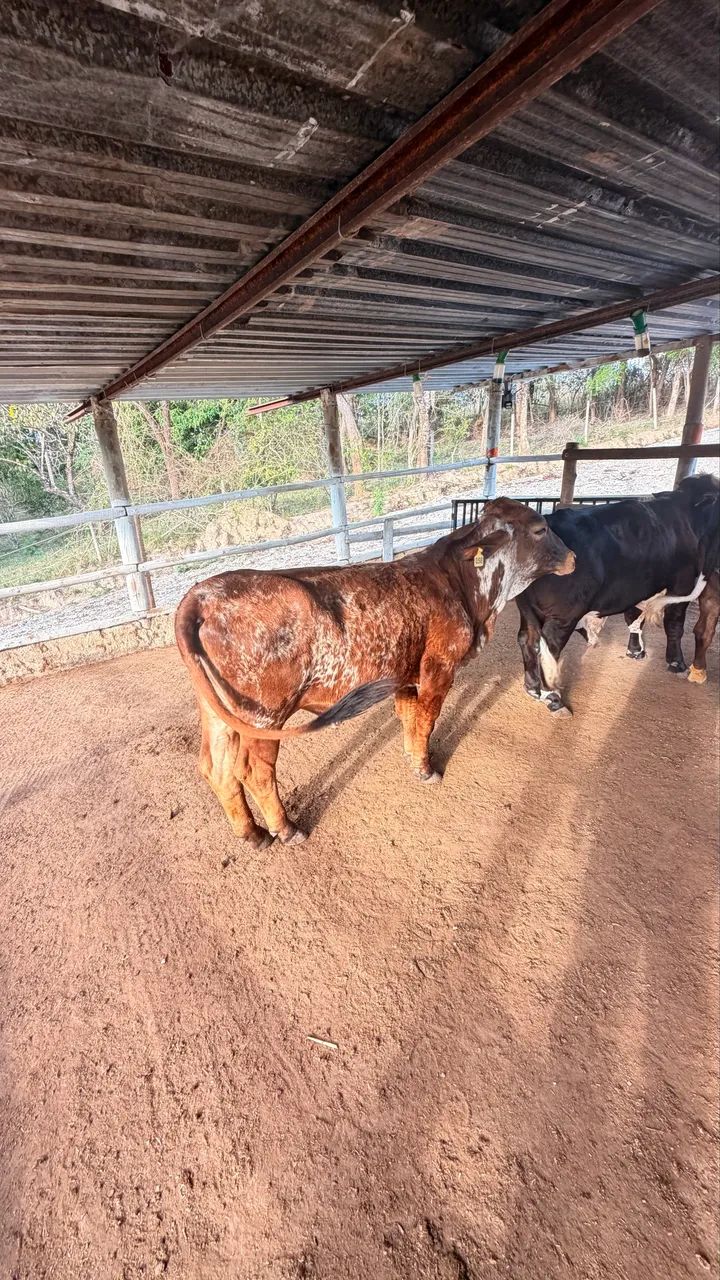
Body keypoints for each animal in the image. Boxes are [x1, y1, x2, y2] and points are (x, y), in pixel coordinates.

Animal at [175, 498, 574, 846]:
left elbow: (410, 717)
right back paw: (286, 830)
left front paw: (412, 757)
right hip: (265, 715)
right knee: (255, 771)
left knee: (217, 769)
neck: (465, 587)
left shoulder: (404, 673)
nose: (573, 557)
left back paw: (252, 834)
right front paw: (426, 769)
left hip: (220, 713)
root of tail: (201, 594)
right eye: (540, 528)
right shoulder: (439, 667)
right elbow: (427, 719)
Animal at [515, 473, 719, 715]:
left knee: (527, 639)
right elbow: (675, 625)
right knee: (549, 647)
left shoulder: (636, 588)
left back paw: (533, 689)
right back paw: (554, 699)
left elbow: (634, 618)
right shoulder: (682, 585)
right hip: (563, 616)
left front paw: (636, 651)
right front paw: (676, 663)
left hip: (528, 610)